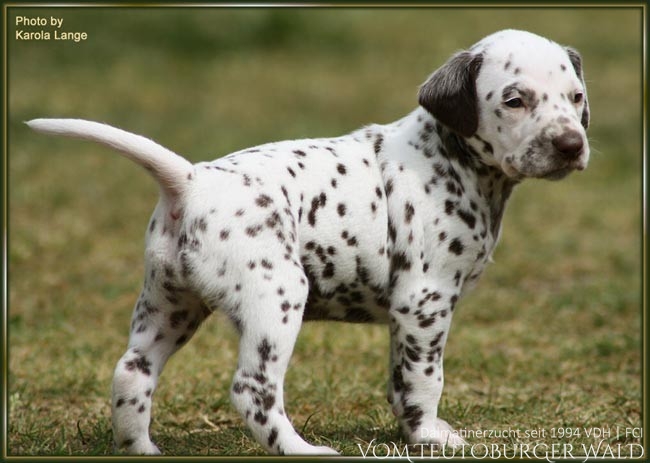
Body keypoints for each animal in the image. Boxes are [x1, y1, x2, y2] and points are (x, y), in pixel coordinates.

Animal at [28, 29, 589, 455]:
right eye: (515, 100)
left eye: (577, 97)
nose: (572, 145)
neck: (450, 158)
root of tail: (191, 180)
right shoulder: (425, 302)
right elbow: (425, 378)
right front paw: (430, 435)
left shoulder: (406, 317)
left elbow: (399, 380)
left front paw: (411, 429)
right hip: (275, 299)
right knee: (252, 391)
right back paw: (303, 450)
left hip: (169, 305)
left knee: (132, 373)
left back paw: (141, 449)